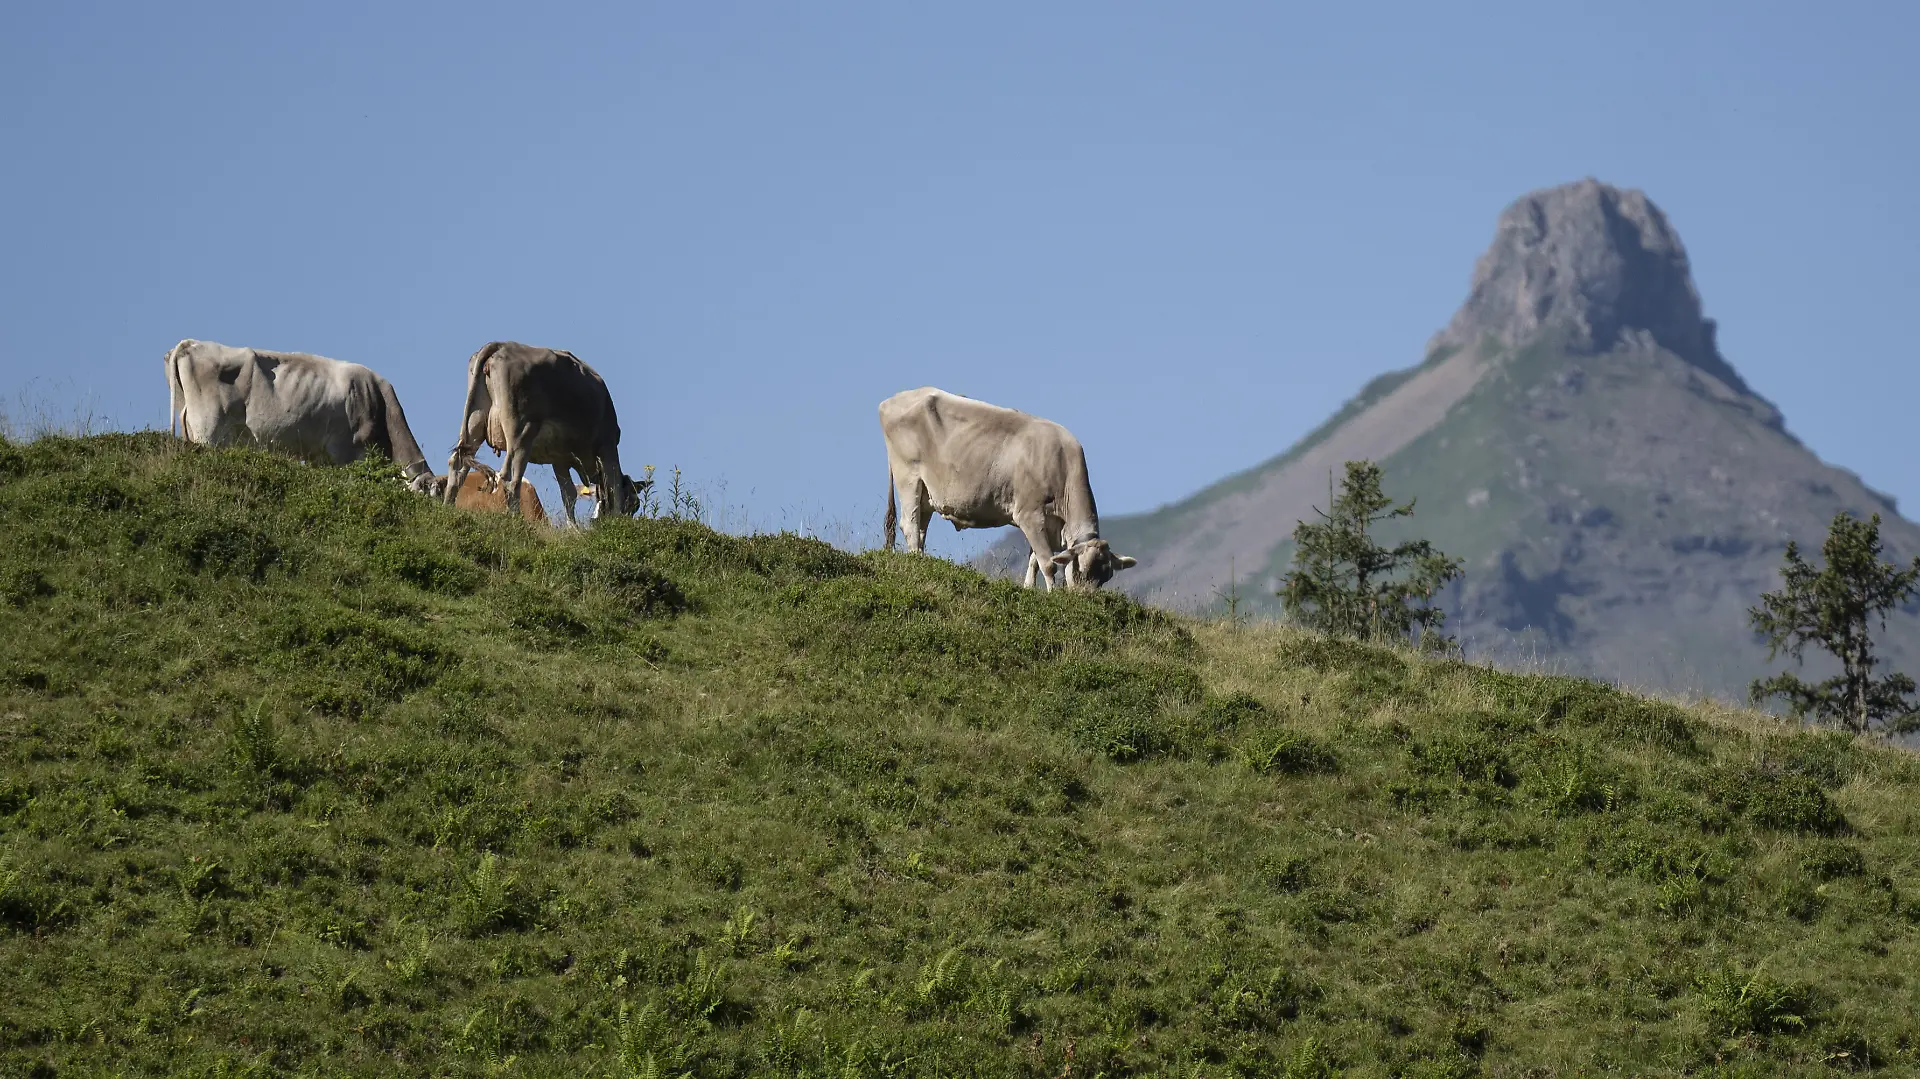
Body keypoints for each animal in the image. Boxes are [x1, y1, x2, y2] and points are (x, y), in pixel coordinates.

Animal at [443, 342, 644, 527]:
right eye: (634, 505)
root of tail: (502, 345)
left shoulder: (559, 458)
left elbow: (568, 494)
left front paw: (574, 529)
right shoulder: (608, 446)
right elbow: (614, 489)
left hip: (475, 421)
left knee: (457, 465)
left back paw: (447, 508)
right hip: (521, 432)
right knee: (509, 478)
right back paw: (516, 521)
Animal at [878, 386, 1136, 591]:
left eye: (1105, 578)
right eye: (1081, 571)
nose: (1085, 600)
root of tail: (892, 400)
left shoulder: (1046, 524)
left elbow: (1034, 560)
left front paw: (1029, 590)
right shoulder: (1029, 514)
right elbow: (1047, 563)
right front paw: (1053, 594)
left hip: (927, 493)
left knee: (920, 528)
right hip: (908, 475)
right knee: (909, 525)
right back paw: (916, 563)